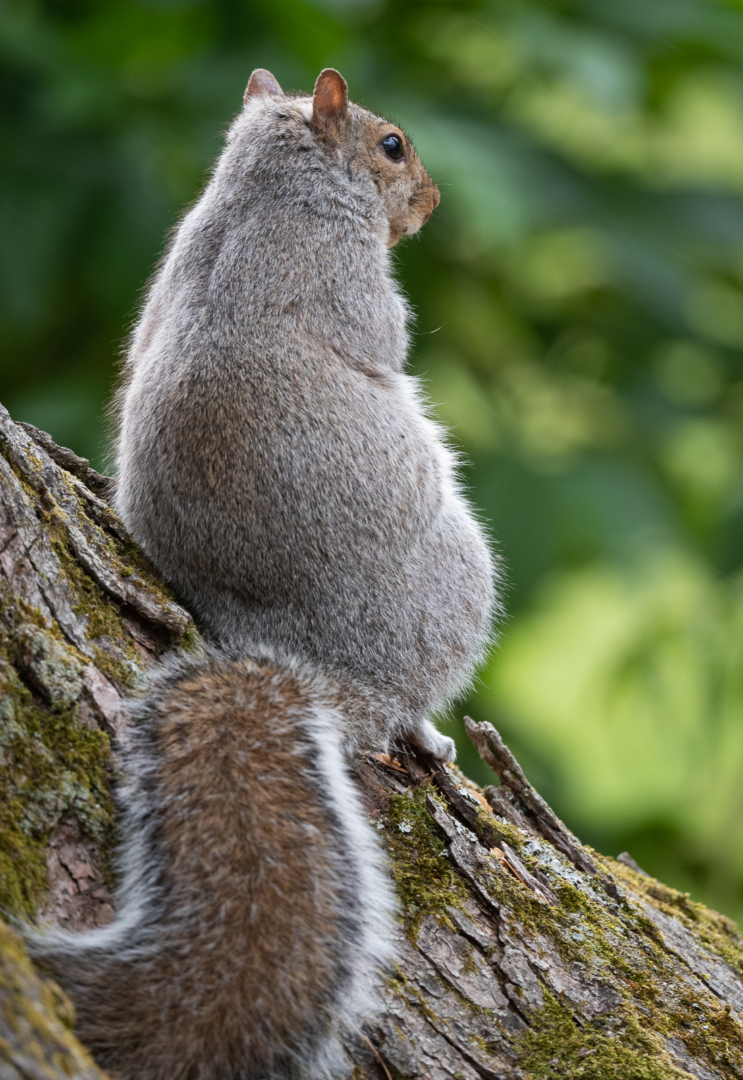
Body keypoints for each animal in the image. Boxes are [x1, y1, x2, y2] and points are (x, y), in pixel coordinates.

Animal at [28, 68, 496, 1080]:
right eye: (391, 146)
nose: (432, 202)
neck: (265, 183)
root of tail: (328, 672)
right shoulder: (344, 271)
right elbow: (384, 341)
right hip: (458, 583)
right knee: (407, 706)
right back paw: (427, 730)